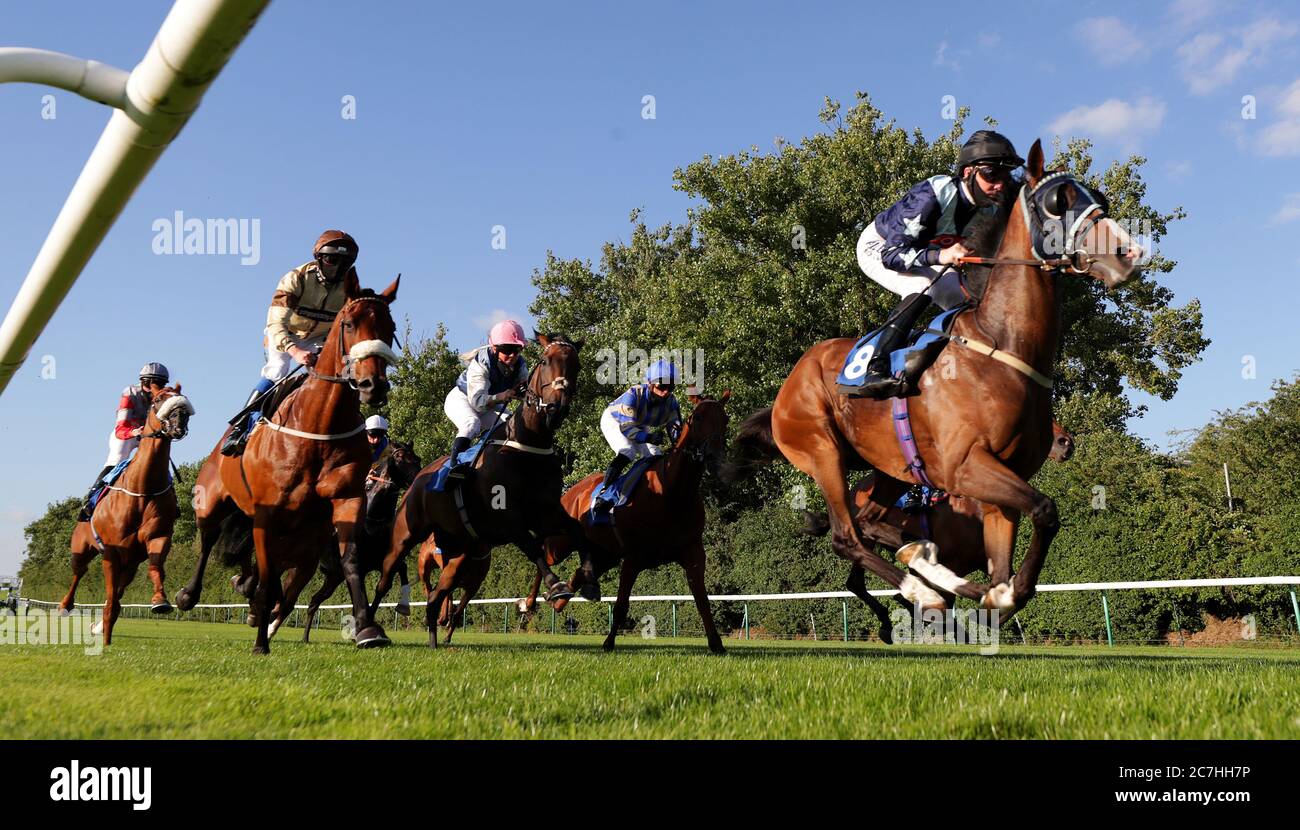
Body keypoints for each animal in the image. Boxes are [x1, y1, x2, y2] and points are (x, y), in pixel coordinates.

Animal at [61, 387, 193, 647]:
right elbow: (111, 599)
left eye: (183, 399)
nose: (181, 419)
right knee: (78, 573)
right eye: (158, 399)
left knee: (119, 590)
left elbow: (155, 566)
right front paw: (106, 640)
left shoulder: (156, 538)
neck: (143, 488)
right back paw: (65, 606)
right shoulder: (111, 552)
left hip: (130, 564)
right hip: (81, 549)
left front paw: (160, 601)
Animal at [176, 275, 400, 653]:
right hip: (212, 499)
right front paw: (259, 644)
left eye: (390, 327)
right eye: (350, 323)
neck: (320, 426)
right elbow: (266, 577)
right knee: (208, 539)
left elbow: (351, 560)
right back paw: (189, 595)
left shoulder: (346, 500)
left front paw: (368, 629)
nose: (373, 384)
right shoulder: (267, 512)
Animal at [371, 333, 585, 650]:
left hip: (460, 554)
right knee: (384, 582)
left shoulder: (547, 513)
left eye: (576, 365)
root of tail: (418, 479)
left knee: (436, 597)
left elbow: (574, 534)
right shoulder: (507, 518)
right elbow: (533, 546)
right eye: (547, 361)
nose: (556, 408)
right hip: (404, 536)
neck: (527, 447)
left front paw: (578, 583)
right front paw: (554, 588)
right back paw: (365, 628)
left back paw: (434, 640)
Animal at [527, 392, 733, 653]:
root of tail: (572, 490)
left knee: (578, 574)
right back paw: (530, 602)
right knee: (543, 554)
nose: (714, 457)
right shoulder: (633, 558)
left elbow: (703, 601)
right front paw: (608, 642)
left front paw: (716, 643)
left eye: (725, 419)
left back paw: (561, 599)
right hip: (561, 543)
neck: (674, 492)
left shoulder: (693, 552)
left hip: (605, 555)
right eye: (697, 417)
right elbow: (621, 605)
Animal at [728, 139, 1144, 624]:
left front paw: (996, 595)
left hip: (891, 469)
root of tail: (786, 388)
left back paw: (926, 565)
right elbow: (1046, 509)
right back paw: (922, 590)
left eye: (1100, 197)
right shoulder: (966, 466)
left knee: (870, 524)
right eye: (1058, 200)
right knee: (846, 537)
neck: (1003, 347)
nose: (1127, 253)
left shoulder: (1000, 491)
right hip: (822, 452)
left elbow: (1006, 573)